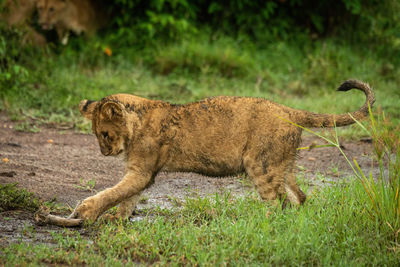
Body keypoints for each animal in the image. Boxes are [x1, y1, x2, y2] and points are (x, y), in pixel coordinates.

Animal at [67, 80, 374, 223]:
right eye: (97, 135)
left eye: (105, 134)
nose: (105, 153)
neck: (137, 123)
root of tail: (289, 110)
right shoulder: (140, 172)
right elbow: (127, 197)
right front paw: (117, 218)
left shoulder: (142, 171)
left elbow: (114, 193)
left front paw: (87, 211)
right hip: (281, 165)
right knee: (298, 197)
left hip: (260, 164)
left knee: (276, 203)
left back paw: (260, 222)